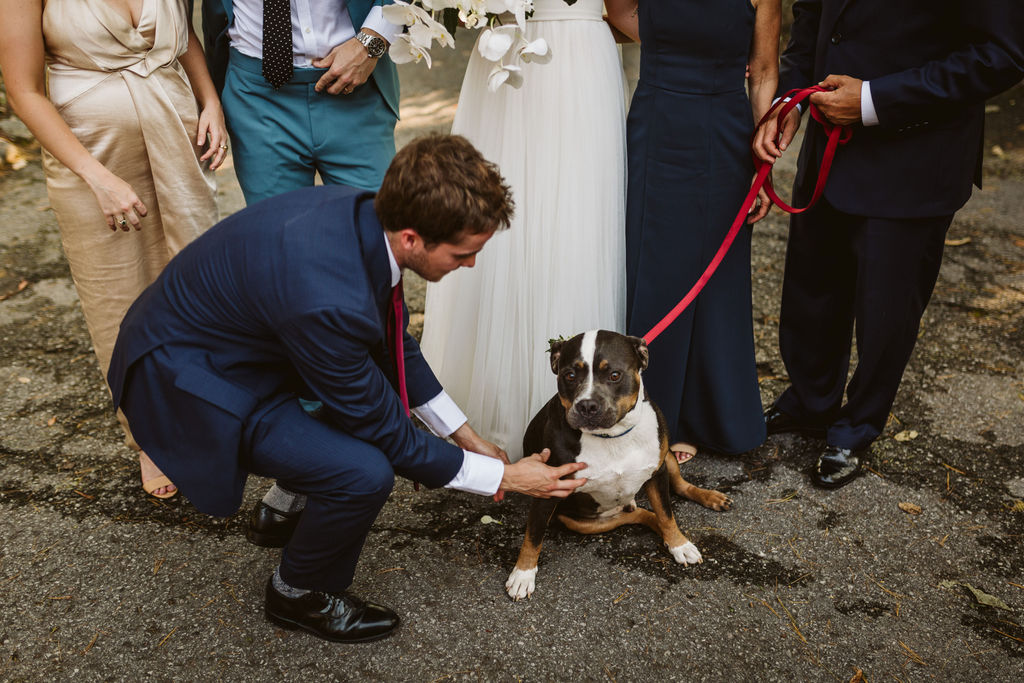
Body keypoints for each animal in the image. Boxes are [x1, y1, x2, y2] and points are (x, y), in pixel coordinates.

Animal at [503, 333, 729, 602]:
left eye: (614, 375)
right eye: (570, 375)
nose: (587, 406)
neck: (611, 436)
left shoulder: (657, 473)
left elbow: (667, 513)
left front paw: (679, 544)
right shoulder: (546, 489)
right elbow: (533, 535)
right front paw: (523, 574)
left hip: (667, 458)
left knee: (678, 488)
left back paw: (710, 498)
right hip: (582, 522)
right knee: (639, 515)